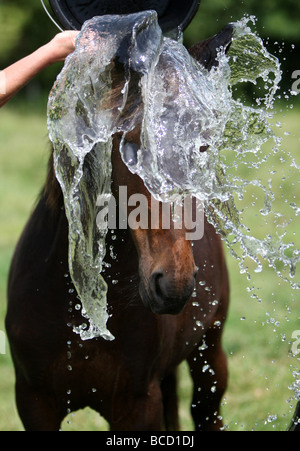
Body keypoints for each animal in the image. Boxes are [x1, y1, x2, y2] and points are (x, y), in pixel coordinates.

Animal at [5, 25, 233, 434]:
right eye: (132, 144)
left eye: (203, 146)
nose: (174, 284)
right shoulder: (34, 402)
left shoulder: (137, 405)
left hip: (210, 351)